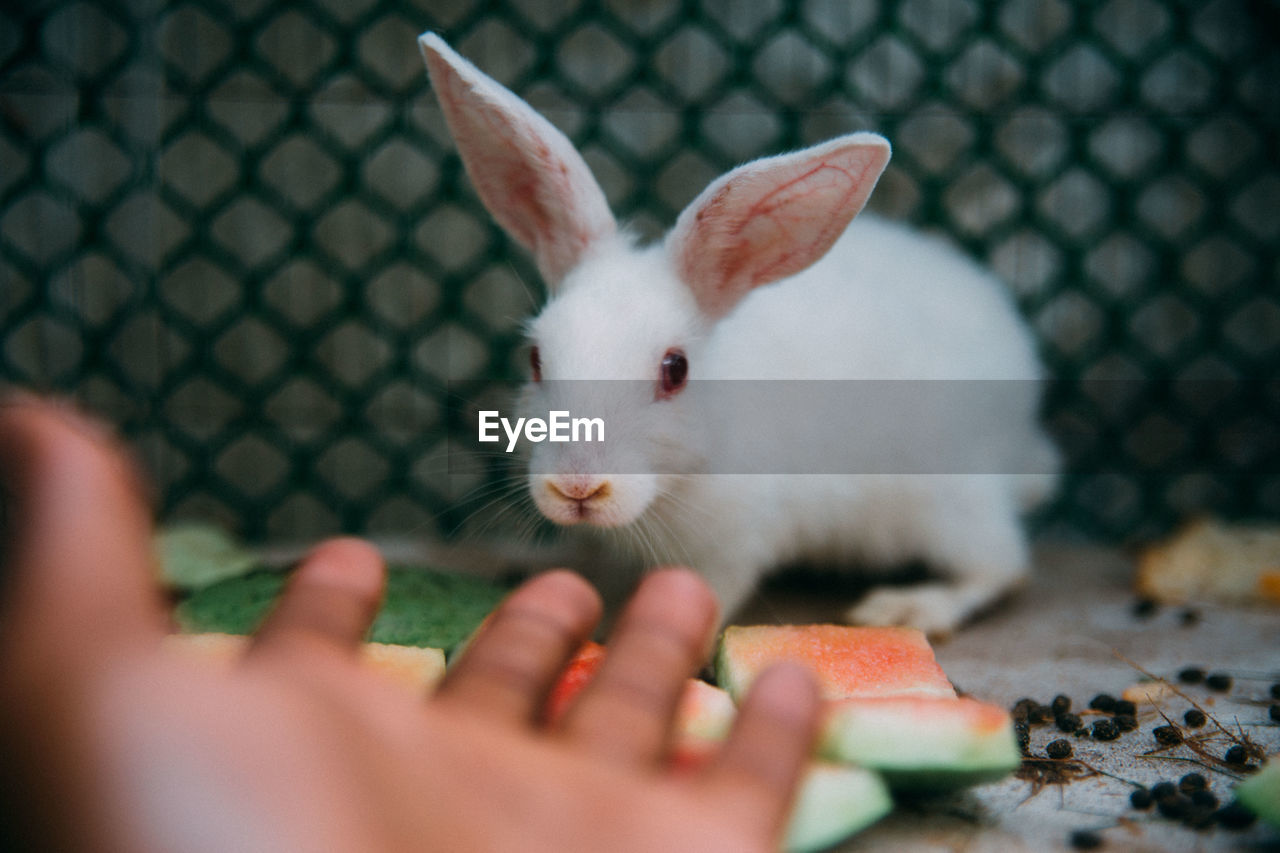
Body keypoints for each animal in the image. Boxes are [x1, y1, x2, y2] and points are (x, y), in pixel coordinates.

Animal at [419, 33, 1059, 630]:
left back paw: (909, 608)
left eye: (675, 370)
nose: (578, 489)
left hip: (951, 500)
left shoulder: (736, 540)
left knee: (1003, 567)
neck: (672, 483)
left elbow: (713, 592)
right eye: (535, 359)